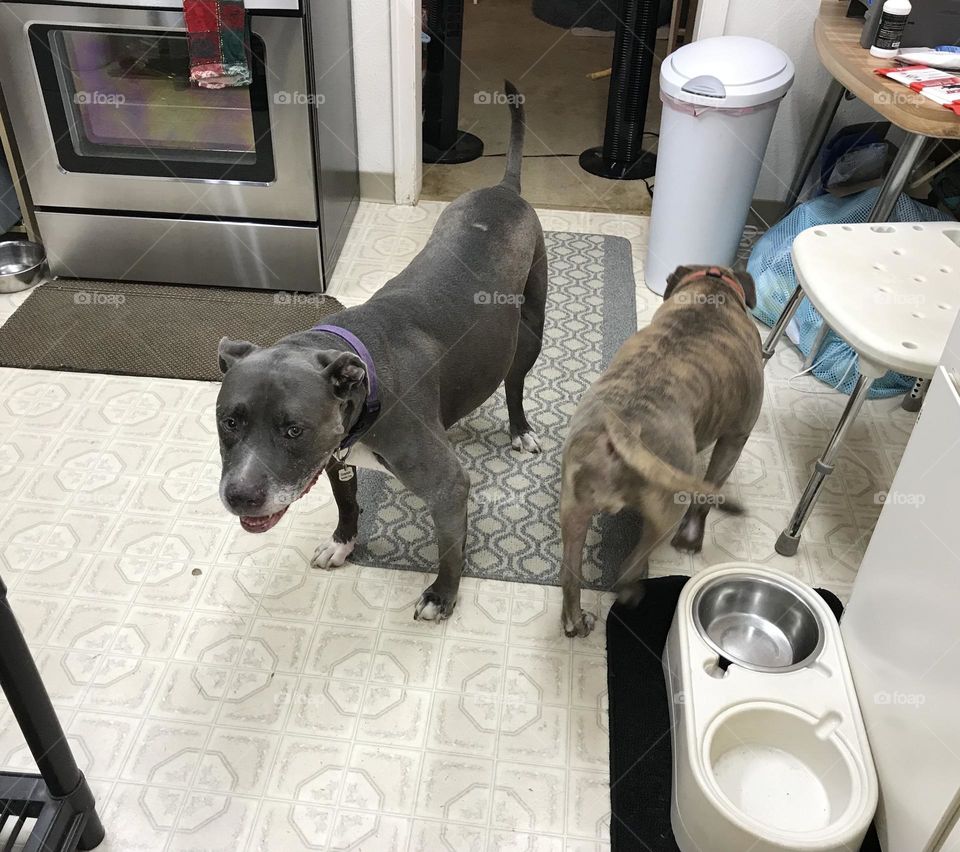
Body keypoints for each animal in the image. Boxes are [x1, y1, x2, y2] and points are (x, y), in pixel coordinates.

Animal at [218, 81, 548, 620]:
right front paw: (342, 543)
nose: (241, 496)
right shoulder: (335, 459)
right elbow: (347, 503)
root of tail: (504, 188)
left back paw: (520, 430)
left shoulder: (447, 486)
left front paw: (442, 596)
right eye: (229, 421)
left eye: (293, 429)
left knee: (515, 383)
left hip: (530, 329)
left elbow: (449, 546)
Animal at [560, 262, 760, 636]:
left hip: (574, 510)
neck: (712, 291)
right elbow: (708, 492)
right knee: (626, 570)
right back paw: (634, 593)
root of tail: (623, 427)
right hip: (666, 514)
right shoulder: (735, 437)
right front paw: (692, 539)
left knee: (570, 578)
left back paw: (575, 621)